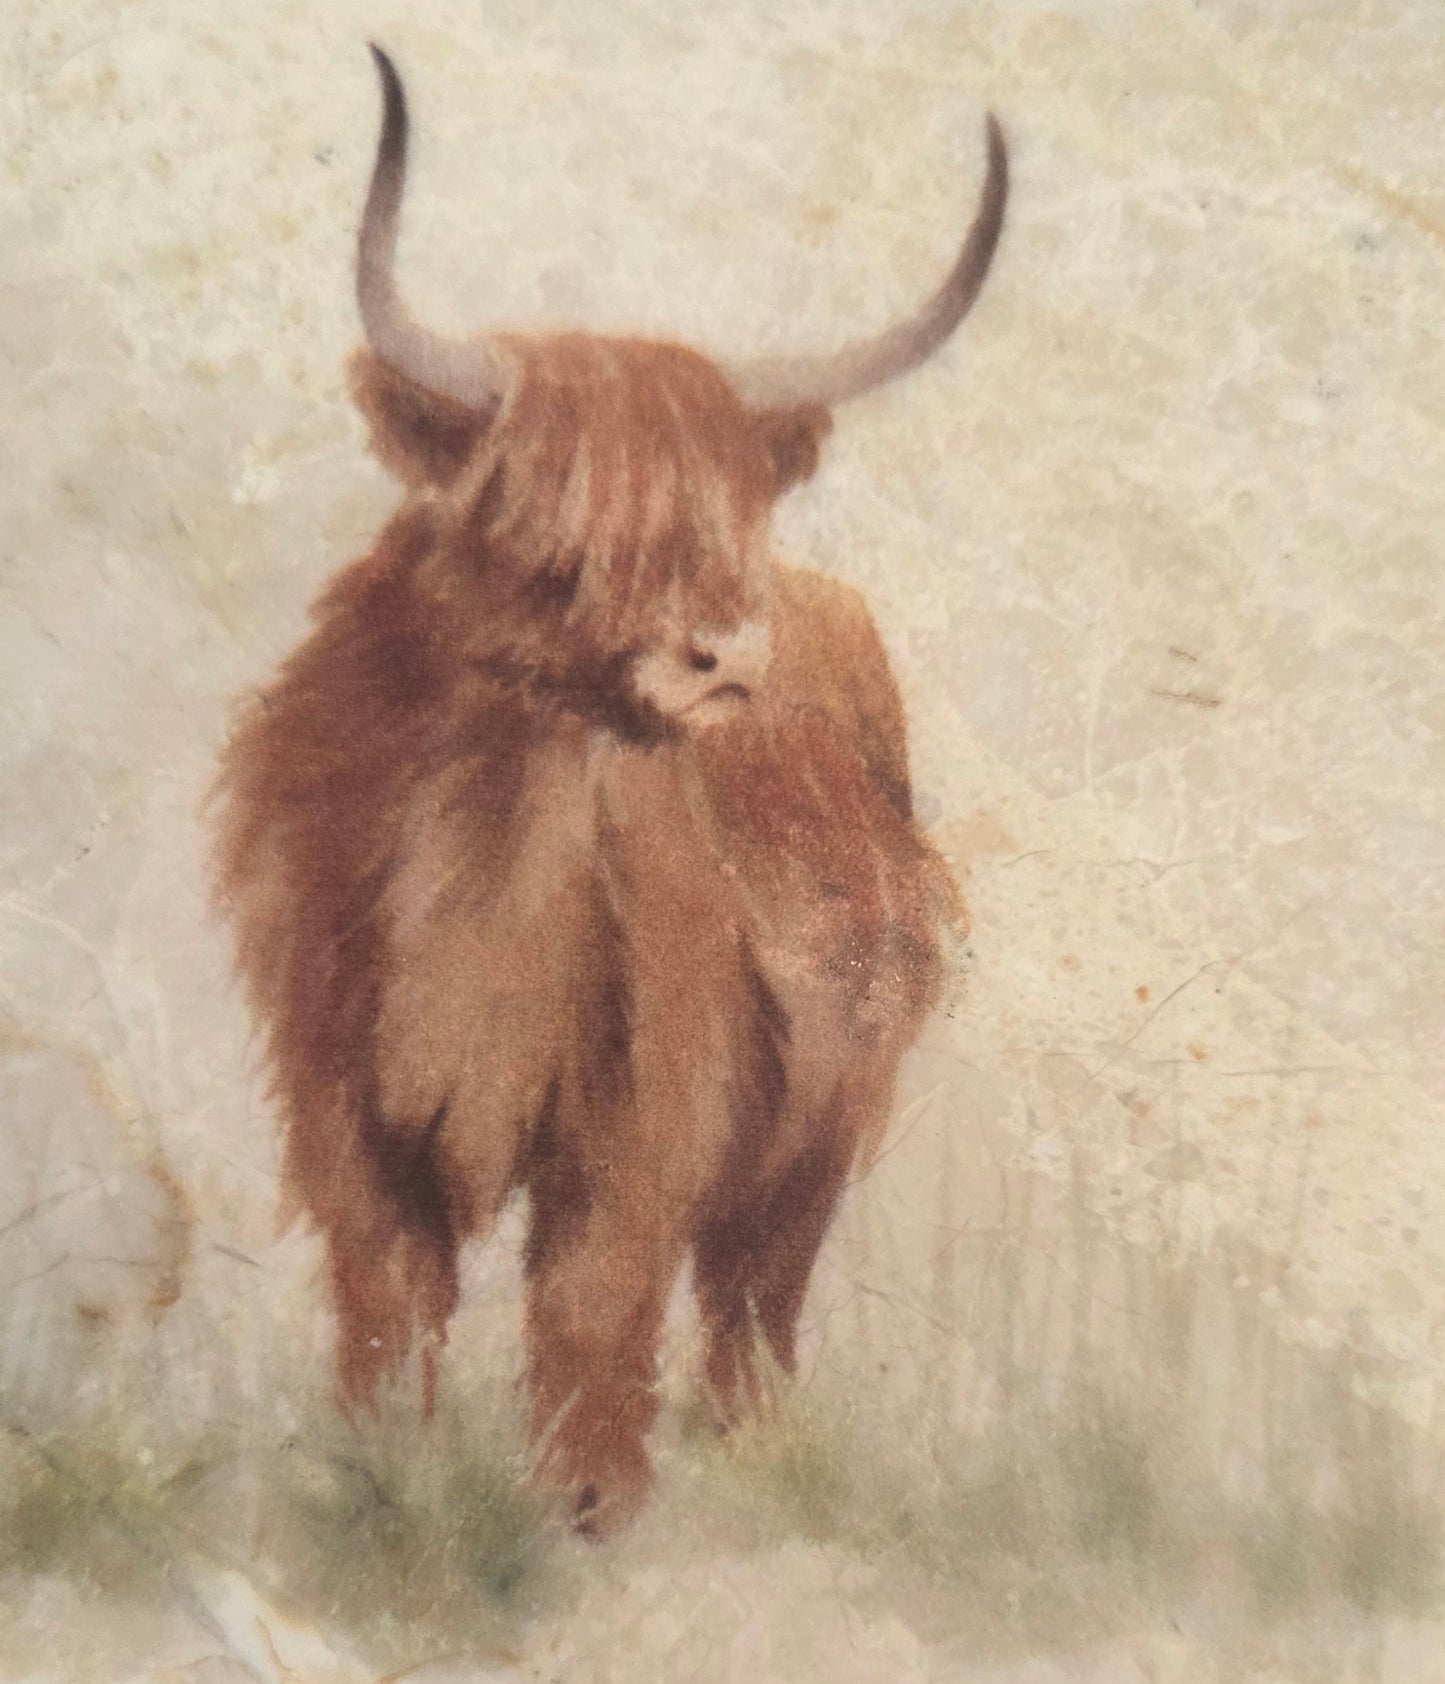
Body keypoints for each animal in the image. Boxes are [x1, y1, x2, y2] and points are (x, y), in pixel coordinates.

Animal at [212, 45, 1006, 1537]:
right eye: (556, 515)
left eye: (727, 509)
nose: (724, 658)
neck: (490, 844)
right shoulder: (339, 1078)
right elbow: (386, 1285)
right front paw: (376, 1472)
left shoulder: (647, 1099)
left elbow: (594, 1288)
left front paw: (586, 1502)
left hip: (832, 1115)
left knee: (757, 1291)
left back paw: (749, 1443)